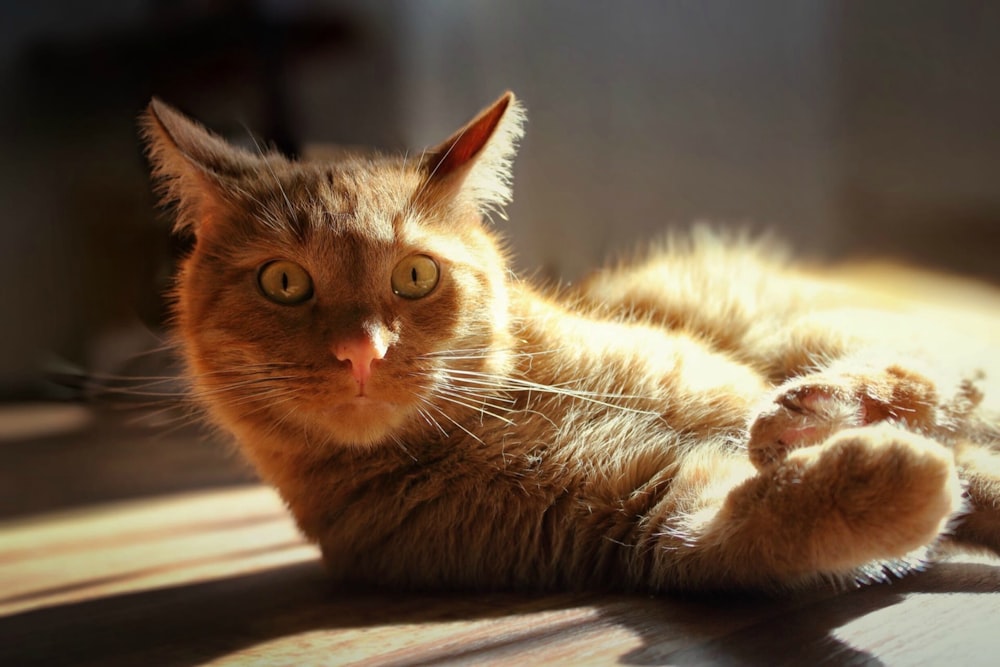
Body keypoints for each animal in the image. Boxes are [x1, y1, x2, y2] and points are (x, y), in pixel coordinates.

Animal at [141, 90, 1000, 596]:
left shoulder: (720, 397)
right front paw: (897, 479)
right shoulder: (649, 514)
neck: (500, 421)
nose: (362, 352)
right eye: (284, 282)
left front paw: (846, 433)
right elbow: (757, 527)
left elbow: (966, 456)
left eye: (415, 274)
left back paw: (823, 405)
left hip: (808, 327)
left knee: (932, 373)